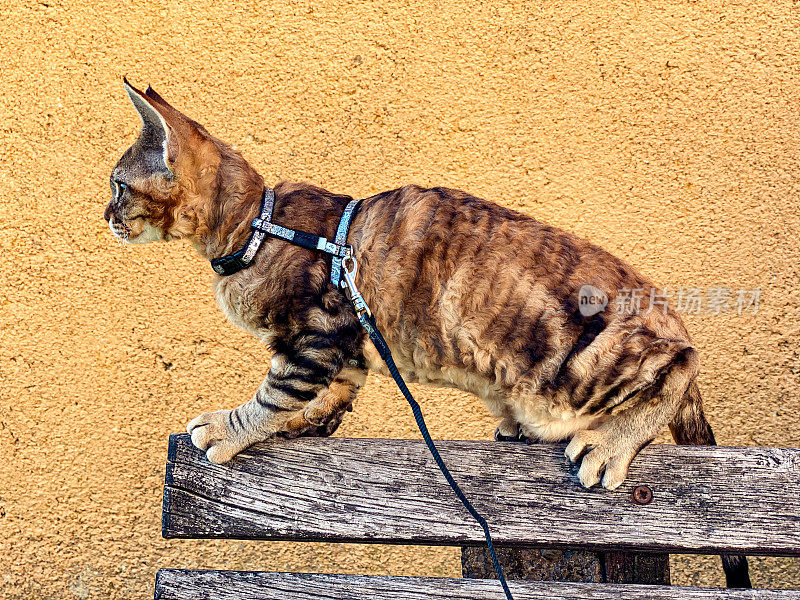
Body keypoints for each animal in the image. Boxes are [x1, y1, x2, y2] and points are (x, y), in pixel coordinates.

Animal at [106, 79, 752, 584]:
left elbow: (272, 396)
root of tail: (665, 307)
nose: (103, 212)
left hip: (579, 362)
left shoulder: (317, 334)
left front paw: (227, 427)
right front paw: (306, 427)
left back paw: (609, 442)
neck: (253, 228)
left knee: (681, 361)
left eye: (117, 185)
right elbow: (324, 399)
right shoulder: (349, 347)